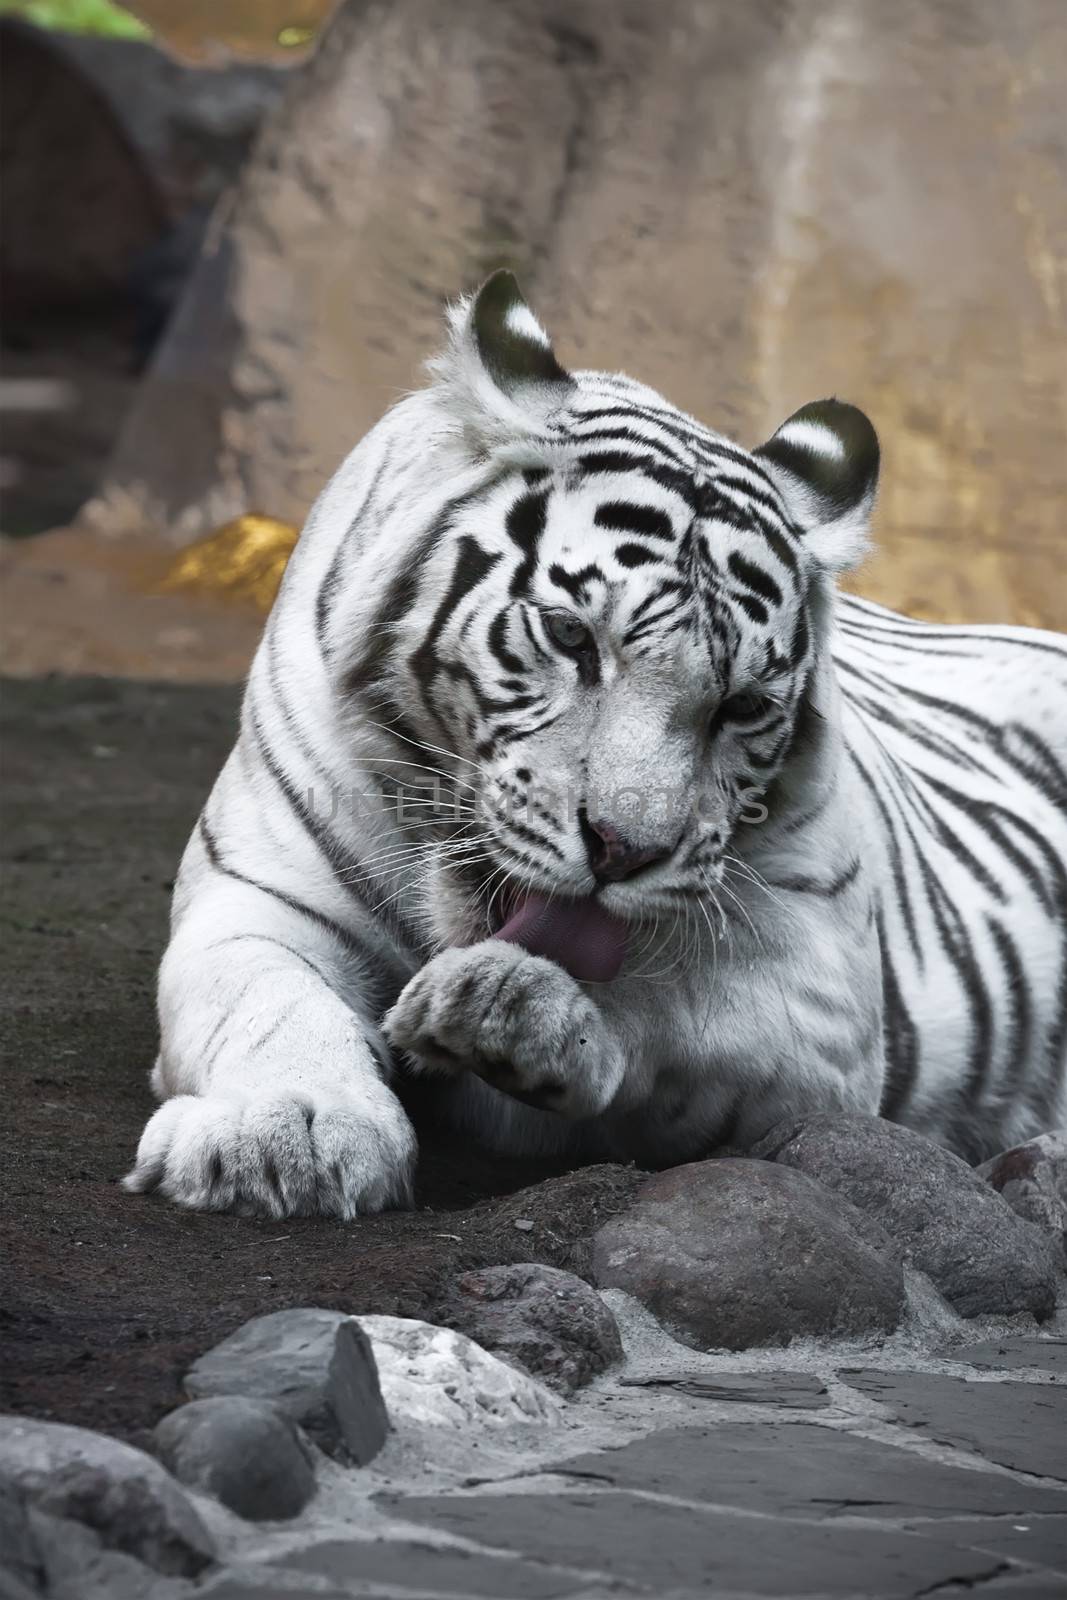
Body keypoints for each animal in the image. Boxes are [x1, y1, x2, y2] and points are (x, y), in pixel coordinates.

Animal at [125, 278, 1067, 1222]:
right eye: (571, 635)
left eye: (741, 706)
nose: (623, 851)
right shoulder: (262, 892)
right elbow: (267, 1001)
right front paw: (290, 1137)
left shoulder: (822, 998)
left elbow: (670, 1000)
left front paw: (511, 1002)